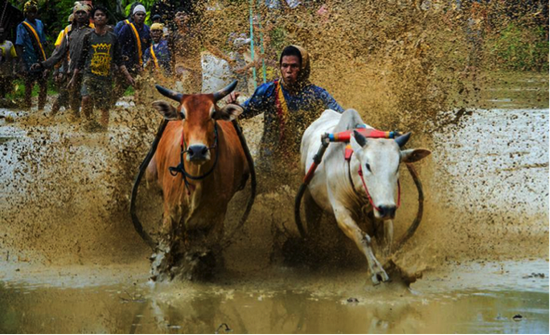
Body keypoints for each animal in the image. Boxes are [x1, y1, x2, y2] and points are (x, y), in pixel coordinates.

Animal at [147, 82, 250, 280]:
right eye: (182, 114)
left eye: (213, 114)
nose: (197, 151)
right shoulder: (171, 213)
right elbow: (165, 250)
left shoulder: (217, 217)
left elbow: (203, 250)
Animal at [300, 109, 434, 284]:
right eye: (368, 165)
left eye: (397, 166)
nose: (386, 209)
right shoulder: (341, 212)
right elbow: (362, 238)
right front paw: (376, 271)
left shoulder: (385, 213)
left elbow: (385, 243)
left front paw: (387, 264)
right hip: (308, 193)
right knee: (312, 219)